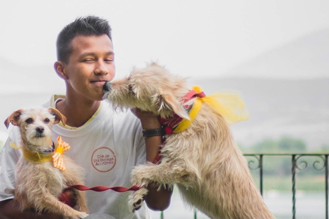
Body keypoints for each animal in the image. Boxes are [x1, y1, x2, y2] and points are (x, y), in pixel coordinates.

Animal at [103, 63, 274, 219]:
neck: (184, 115)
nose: (106, 85)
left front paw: (137, 193)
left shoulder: (184, 168)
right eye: (129, 76)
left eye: (132, 89)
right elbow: (148, 168)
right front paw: (137, 195)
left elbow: (140, 170)